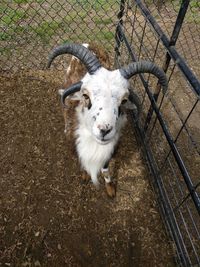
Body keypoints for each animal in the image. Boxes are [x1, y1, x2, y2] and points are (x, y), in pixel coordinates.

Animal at [47, 43, 167, 198]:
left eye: (124, 100)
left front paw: (110, 188)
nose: (104, 130)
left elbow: (105, 169)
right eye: (85, 95)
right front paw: (85, 175)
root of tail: (90, 43)